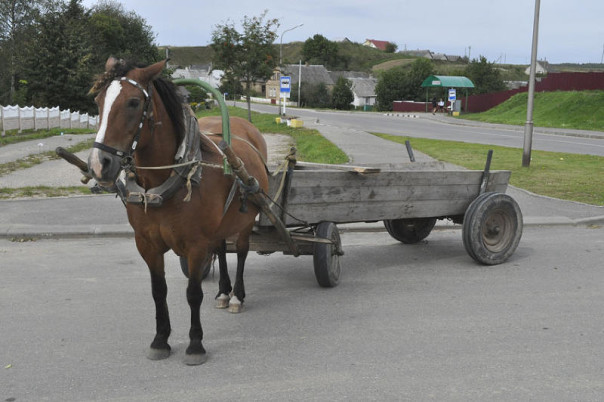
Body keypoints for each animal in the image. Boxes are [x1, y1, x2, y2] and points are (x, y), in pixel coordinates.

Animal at [88, 58, 268, 366]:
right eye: (99, 100)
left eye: (134, 102)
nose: (100, 164)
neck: (163, 183)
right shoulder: (147, 244)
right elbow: (158, 291)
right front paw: (160, 339)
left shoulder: (195, 245)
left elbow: (193, 293)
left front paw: (195, 344)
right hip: (221, 225)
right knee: (222, 250)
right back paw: (223, 292)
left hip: (245, 219)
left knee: (242, 252)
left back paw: (236, 296)